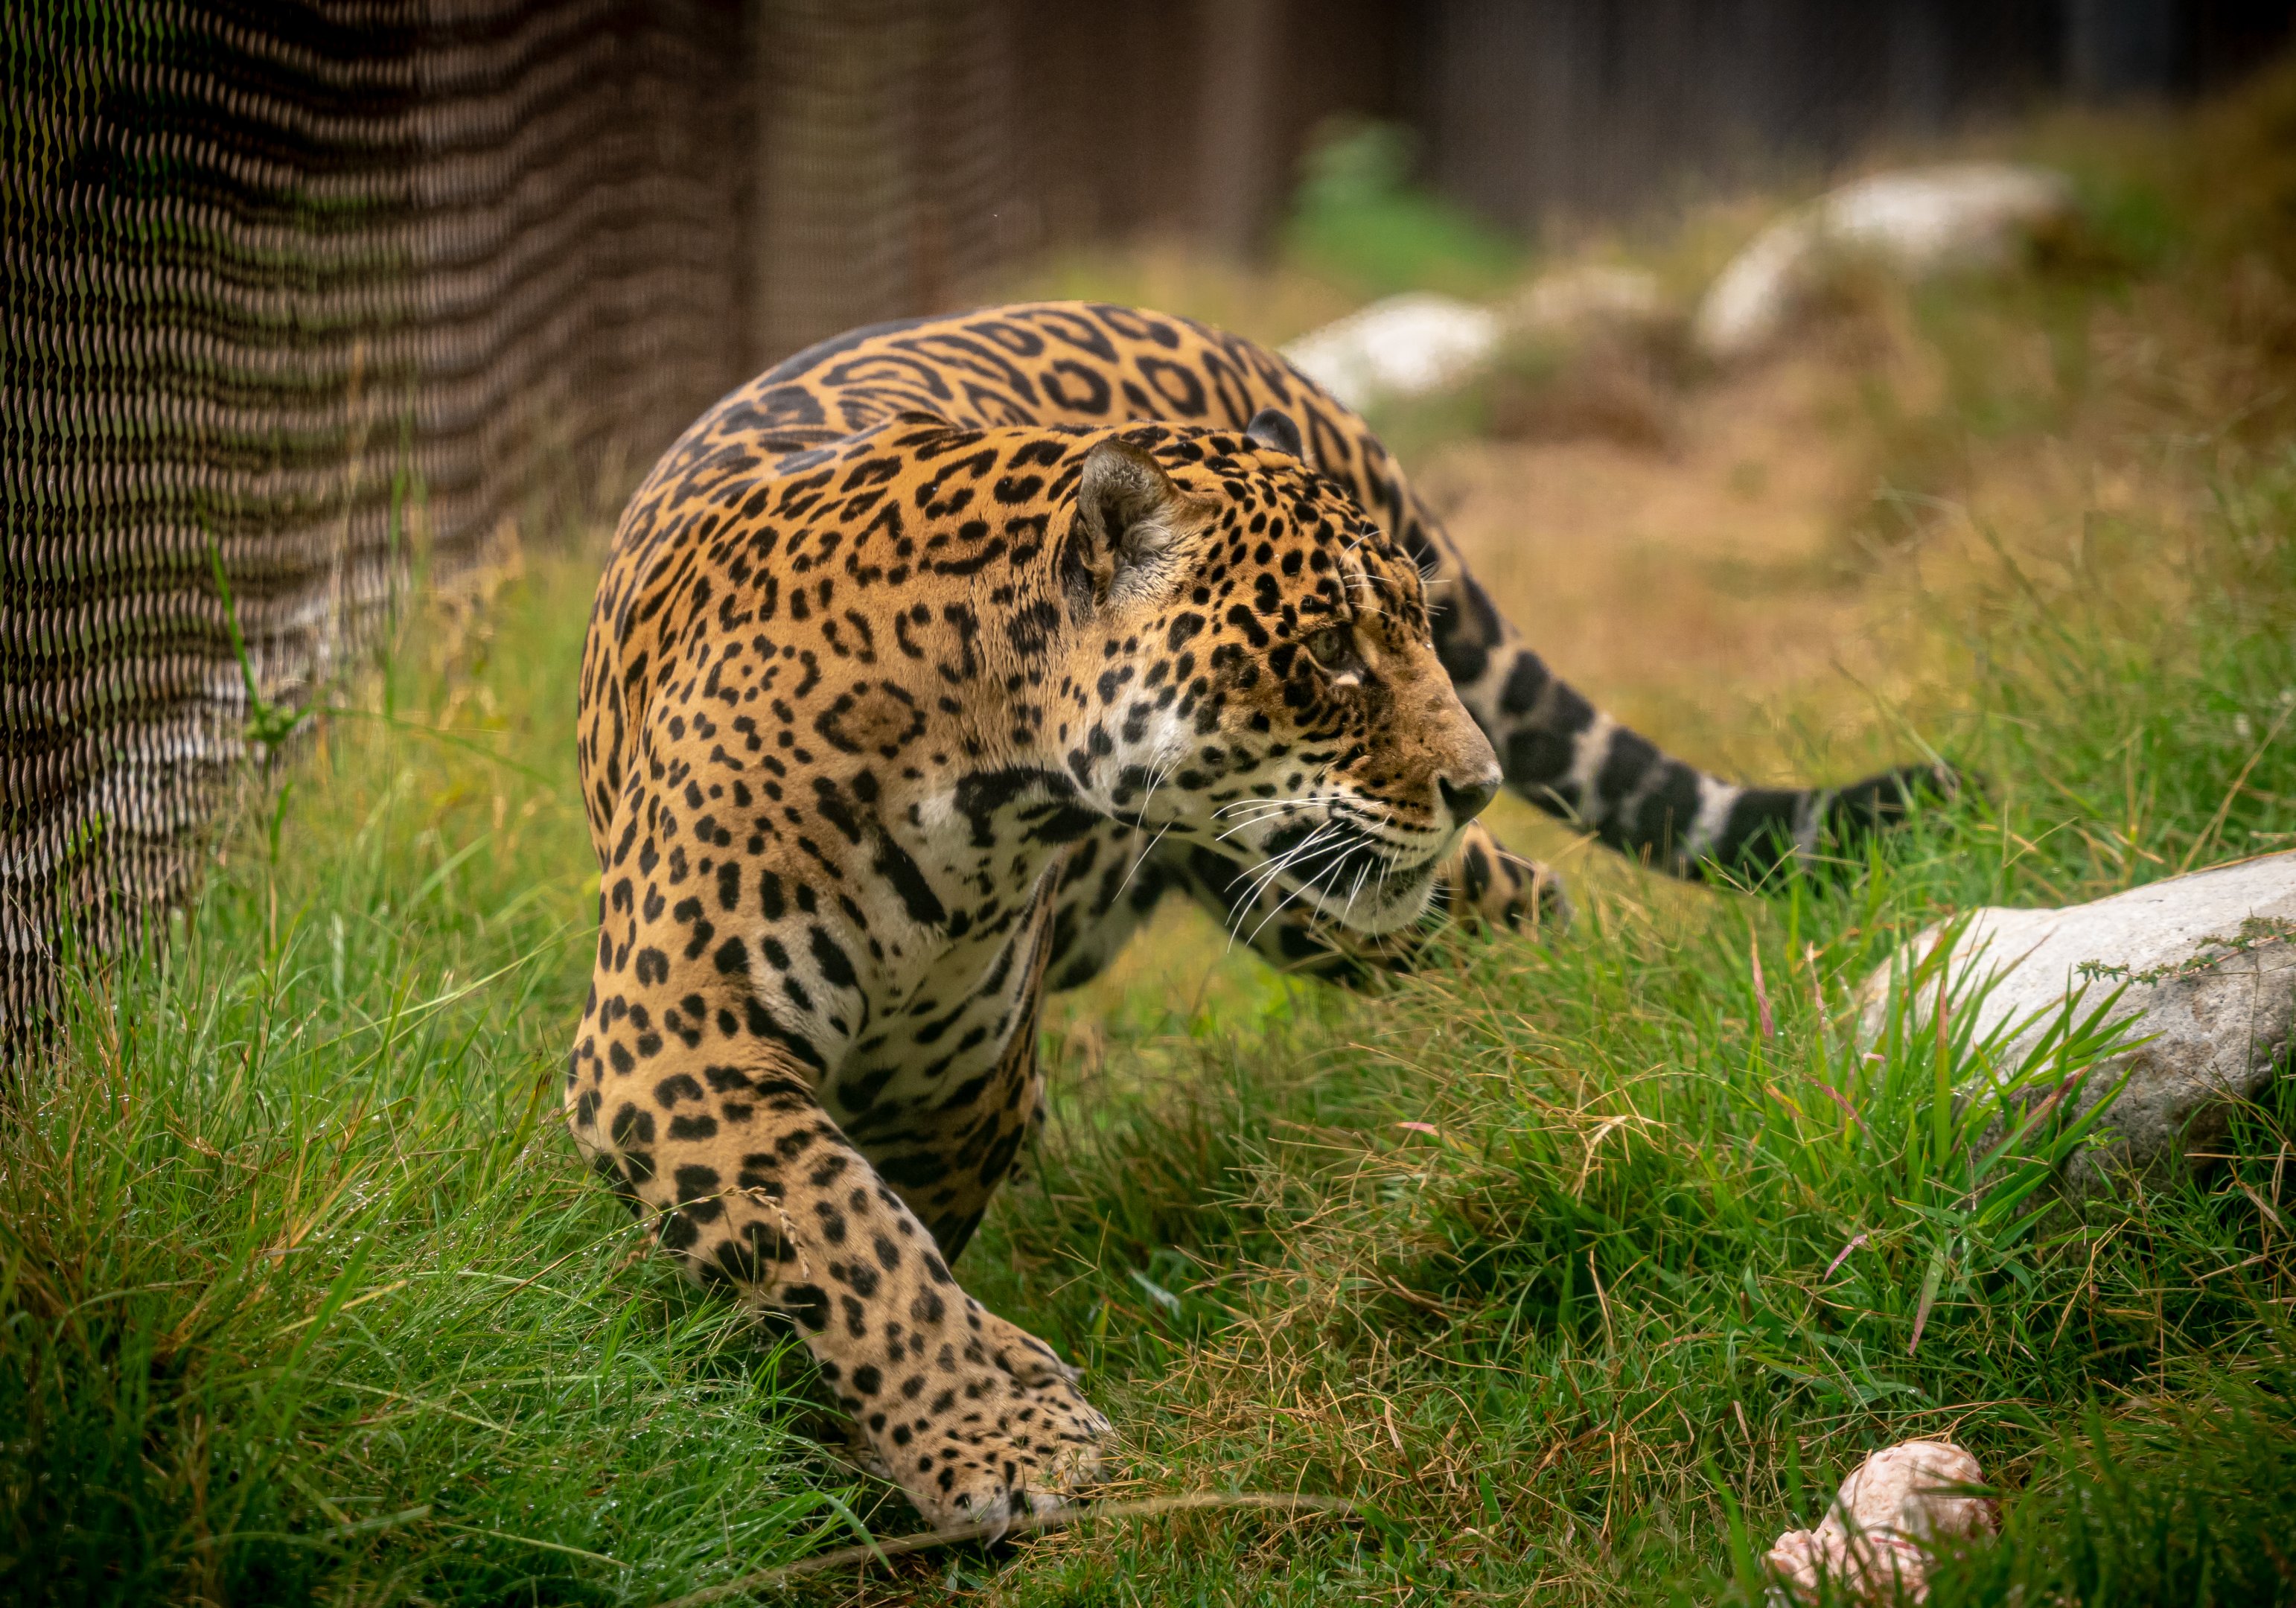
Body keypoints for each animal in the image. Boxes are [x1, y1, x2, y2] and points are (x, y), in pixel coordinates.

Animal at [570, 301, 1952, 1535]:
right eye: (1331, 647)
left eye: (1407, 630)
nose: (1476, 779)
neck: (983, 772)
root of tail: (1250, 349)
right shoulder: (671, 1045)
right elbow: (845, 1239)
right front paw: (986, 1440)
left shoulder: (954, 1089)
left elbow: (874, 1246)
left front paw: (951, 1448)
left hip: (1325, 895)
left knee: (1533, 906)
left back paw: (1538, 1086)